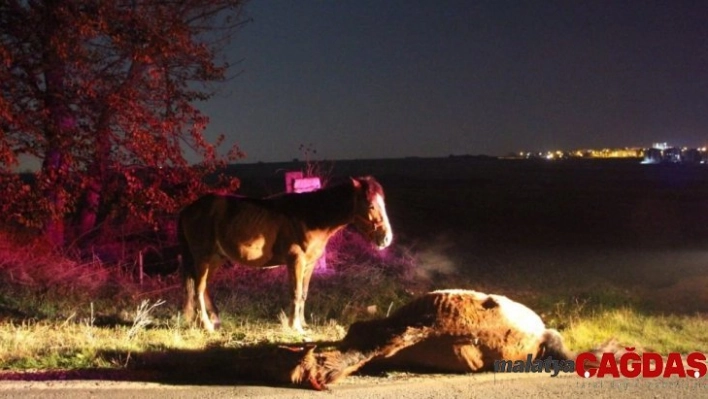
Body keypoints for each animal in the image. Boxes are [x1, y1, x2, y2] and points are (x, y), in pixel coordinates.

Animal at [177, 177, 392, 332]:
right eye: (371, 206)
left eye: (384, 204)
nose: (386, 238)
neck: (310, 217)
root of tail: (188, 209)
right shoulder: (295, 261)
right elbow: (295, 293)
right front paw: (294, 327)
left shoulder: (309, 264)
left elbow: (303, 294)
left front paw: (303, 324)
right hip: (203, 258)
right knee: (198, 289)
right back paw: (206, 325)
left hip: (215, 259)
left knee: (204, 288)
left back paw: (215, 321)